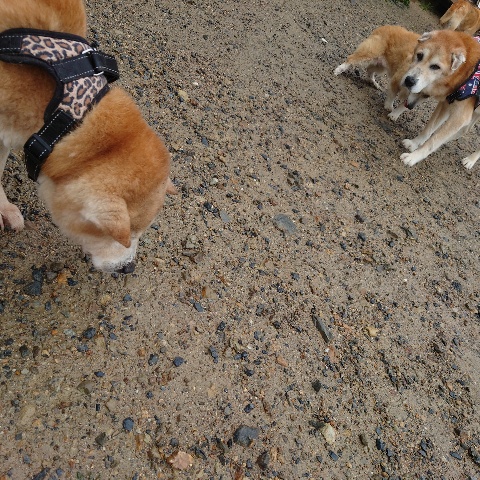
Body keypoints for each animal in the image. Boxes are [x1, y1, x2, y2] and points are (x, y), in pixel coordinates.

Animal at [400, 29, 480, 169]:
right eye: (419, 55)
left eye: (435, 67)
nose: (409, 81)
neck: (467, 72)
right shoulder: (445, 104)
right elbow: (429, 129)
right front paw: (414, 143)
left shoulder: (460, 117)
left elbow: (433, 142)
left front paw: (413, 157)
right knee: (464, 130)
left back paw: (470, 160)